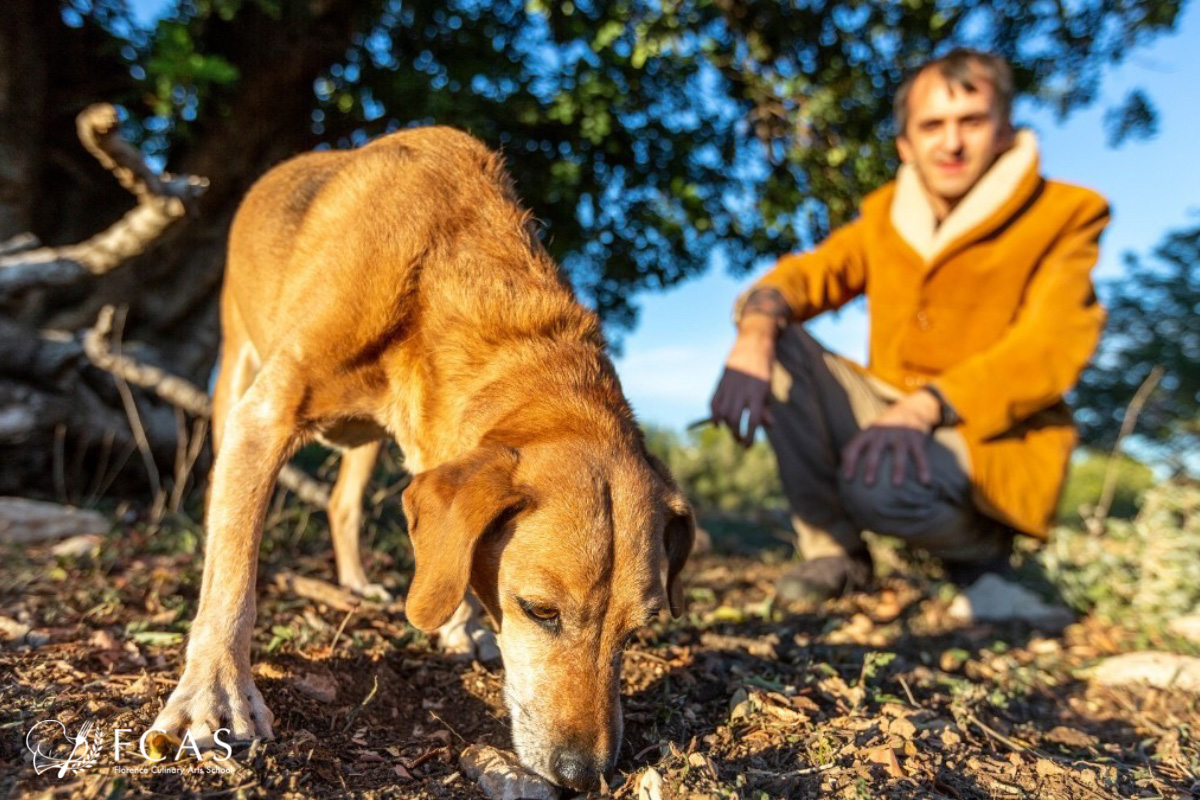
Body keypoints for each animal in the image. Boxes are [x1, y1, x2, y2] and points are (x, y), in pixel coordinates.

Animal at [150, 128, 696, 791]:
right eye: (539, 611)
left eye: (637, 632)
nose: (582, 776)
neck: (439, 273)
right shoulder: (265, 416)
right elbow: (233, 576)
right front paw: (215, 692)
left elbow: (448, 555)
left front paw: (459, 627)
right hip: (235, 366)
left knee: (342, 503)